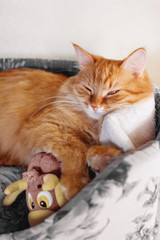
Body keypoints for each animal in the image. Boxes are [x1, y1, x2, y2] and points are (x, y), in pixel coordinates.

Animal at [0, 44, 155, 199]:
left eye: (112, 92)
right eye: (88, 89)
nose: (94, 106)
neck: (95, 125)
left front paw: (104, 158)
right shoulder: (42, 126)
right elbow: (77, 149)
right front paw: (75, 183)